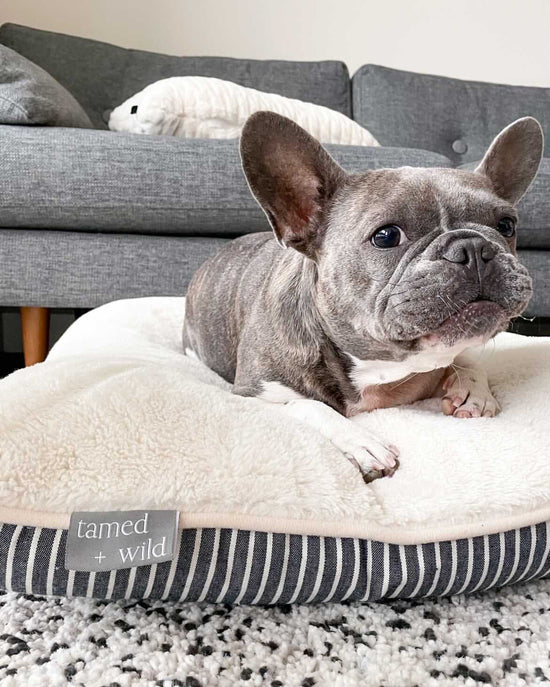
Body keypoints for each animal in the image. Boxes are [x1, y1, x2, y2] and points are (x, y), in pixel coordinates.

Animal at [183, 110, 544, 482]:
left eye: (506, 225)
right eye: (386, 236)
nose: (473, 247)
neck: (379, 371)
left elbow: (466, 359)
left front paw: (472, 390)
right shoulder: (252, 395)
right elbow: (308, 405)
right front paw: (361, 443)